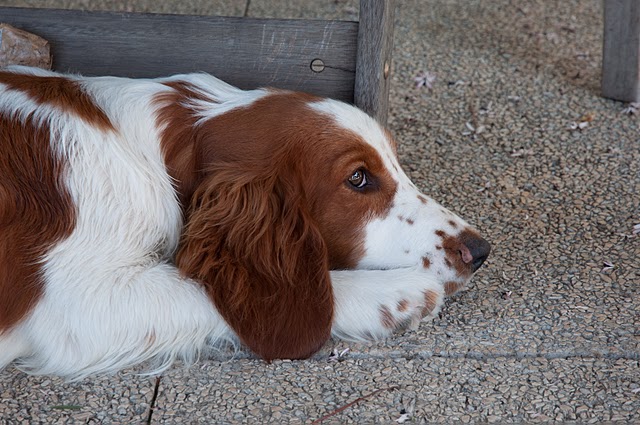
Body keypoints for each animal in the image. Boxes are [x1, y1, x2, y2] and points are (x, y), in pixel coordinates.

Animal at [0, 66, 490, 378]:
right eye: (358, 178)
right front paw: (395, 294)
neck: (148, 151)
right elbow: (201, 290)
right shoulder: (78, 302)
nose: (479, 251)